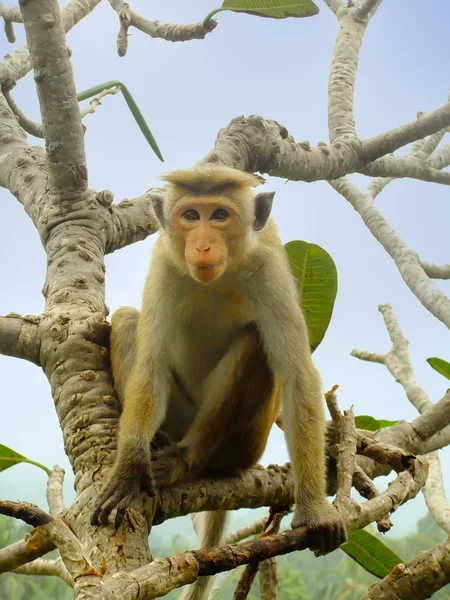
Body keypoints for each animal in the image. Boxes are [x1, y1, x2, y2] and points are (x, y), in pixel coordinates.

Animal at [90, 166, 344, 592]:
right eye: (191, 216)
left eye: (220, 215)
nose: (203, 245)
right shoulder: (163, 263)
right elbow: (151, 364)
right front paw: (128, 468)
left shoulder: (270, 270)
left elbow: (298, 377)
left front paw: (314, 510)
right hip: (178, 416)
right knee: (127, 320)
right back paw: (156, 446)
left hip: (244, 447)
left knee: (255, 343)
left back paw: (185, 462)